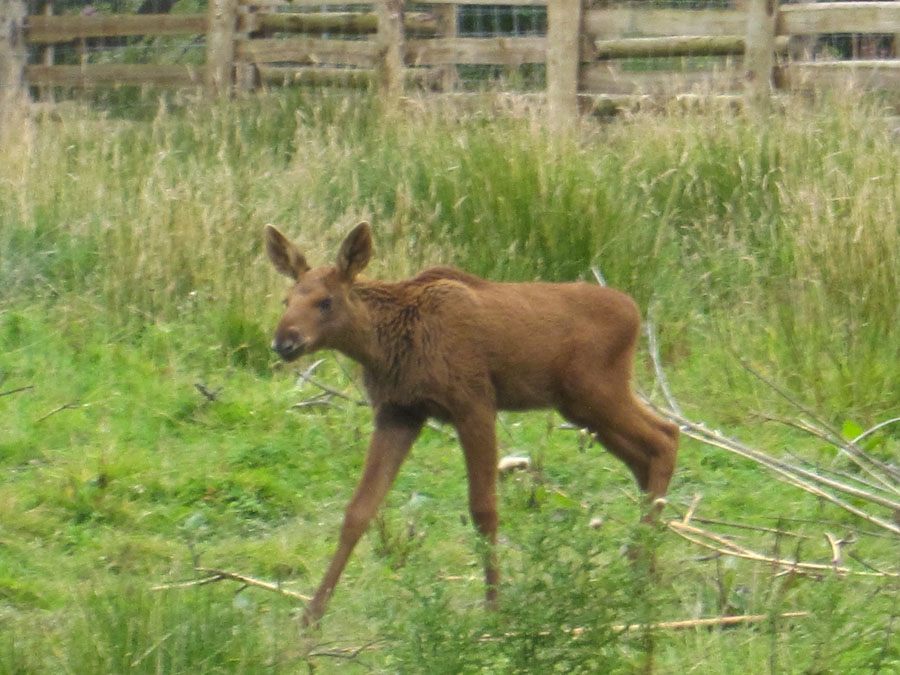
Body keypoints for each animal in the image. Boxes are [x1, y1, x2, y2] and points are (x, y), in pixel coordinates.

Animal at [265, 222, 679, 625]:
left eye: (325, 301)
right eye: (286, 301)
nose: (284, 342)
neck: (385, 345)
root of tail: (635, 312)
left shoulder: (474, 403)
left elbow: (483, 509)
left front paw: (494, 607)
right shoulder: (398, 413)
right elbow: (359, 510)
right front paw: (311, 617)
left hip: (595, 391)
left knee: (667, 436)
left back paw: (639, 566)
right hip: (580, 407)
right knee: (647, 454)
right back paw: (646, 570)